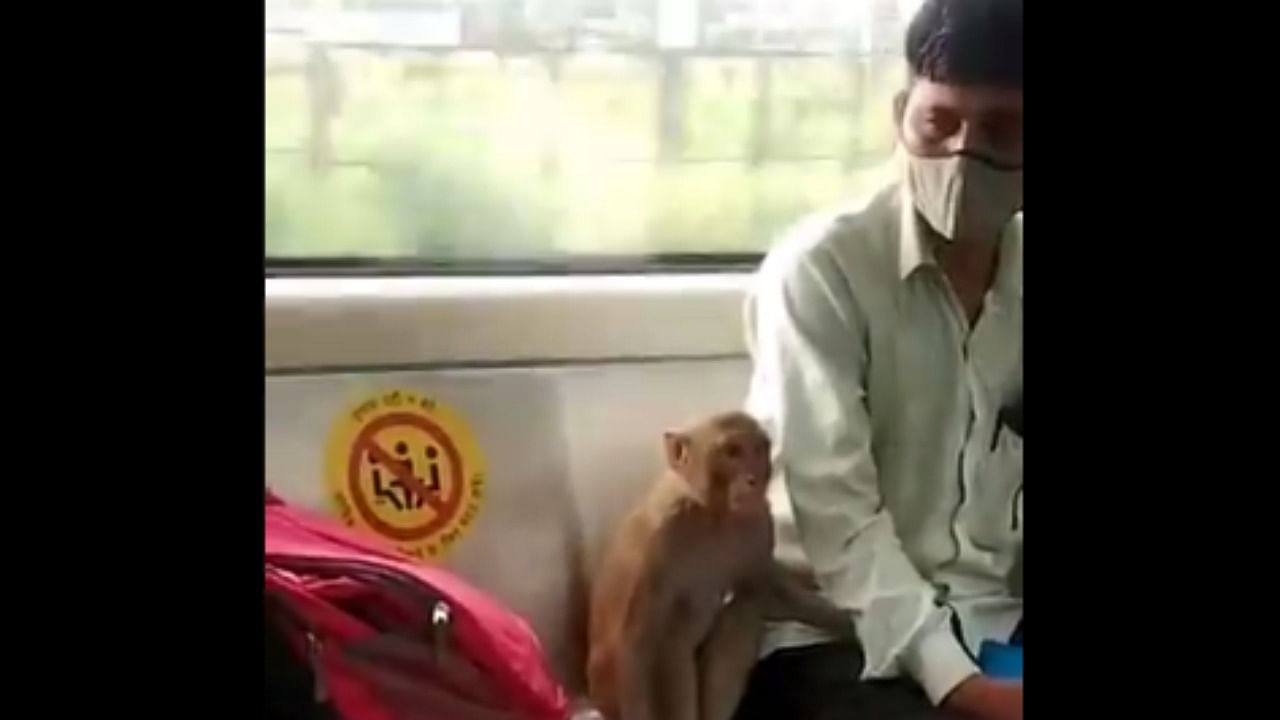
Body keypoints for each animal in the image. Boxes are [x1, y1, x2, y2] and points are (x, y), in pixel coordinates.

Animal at [586, 409, 855, 717]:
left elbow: (767, 590)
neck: (712, 515)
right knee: (671, 639)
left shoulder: (758, 523)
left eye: (758, 449)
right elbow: (637, 645)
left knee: (744, 606)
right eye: (732, 452)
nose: (753, 478)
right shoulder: (658, 543)